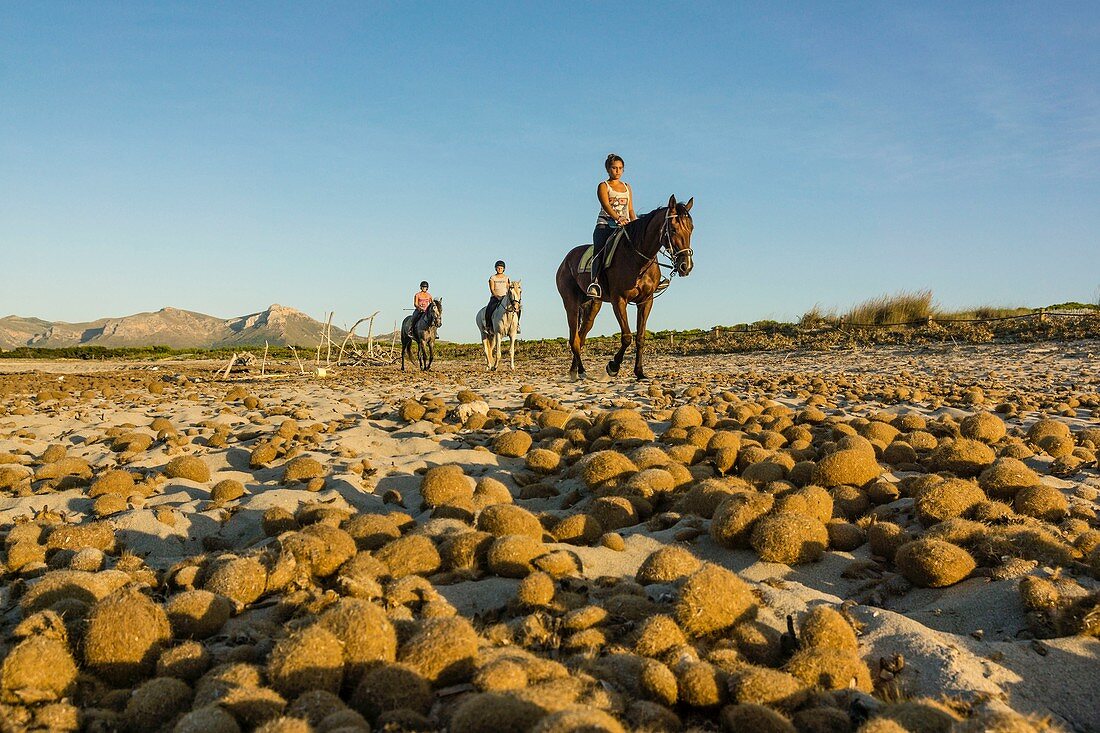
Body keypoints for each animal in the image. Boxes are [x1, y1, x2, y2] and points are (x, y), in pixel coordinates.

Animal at [554, 193, 690, 378]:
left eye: (691, 229)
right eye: (674, 229)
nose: (686, 266)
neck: (638, 259)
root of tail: (565, 260)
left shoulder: (646, 301)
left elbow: (640, 337)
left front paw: (639, 372)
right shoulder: (619, 300)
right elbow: (626, 336)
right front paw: (613, 366)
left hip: (592, 306)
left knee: (580, 337)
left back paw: (575, 370)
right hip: (571, 304)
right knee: (574, 339)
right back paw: (580, 371)